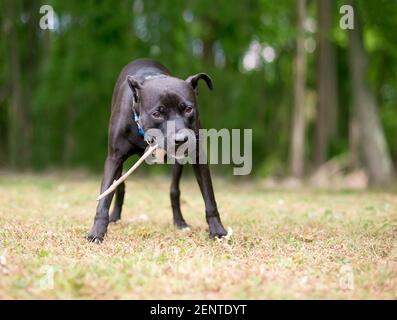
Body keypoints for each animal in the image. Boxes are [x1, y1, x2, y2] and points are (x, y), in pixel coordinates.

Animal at [88, 58, 227, 241]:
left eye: (188, 109)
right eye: (157, 113)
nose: (181, 139)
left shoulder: (198, 157)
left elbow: (209, 197)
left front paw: (217, 229)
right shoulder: (114, 158)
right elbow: (104, 198)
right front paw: (97, 231)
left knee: (174, 190)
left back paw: (179, 222)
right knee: (119, 186)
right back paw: (115, 217)